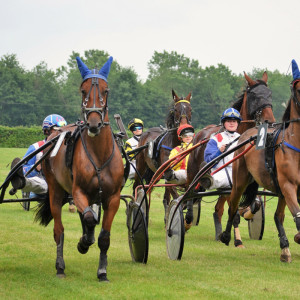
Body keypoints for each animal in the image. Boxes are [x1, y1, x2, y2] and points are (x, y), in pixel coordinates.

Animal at [34, 56, 123, 282]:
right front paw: (83, 243)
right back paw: (60, 267)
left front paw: (102, 272)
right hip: (56, 190)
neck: (99, 155)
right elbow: (90, 219)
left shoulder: (113, 198)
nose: (93, 124)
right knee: (59, 229)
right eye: (83, 91)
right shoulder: (78, 191)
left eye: (106, 90)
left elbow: (103, 236)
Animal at [134, 90, 192, 219]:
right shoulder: (168, 172)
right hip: (140, 166)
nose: (185, 128)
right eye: (175, 109)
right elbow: (175, 194)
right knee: (136, 185)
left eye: (190, 109)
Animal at [186, 71, 276, 244]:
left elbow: (252, 204)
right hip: (193, 173)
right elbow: (232, 211)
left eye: (270, 94)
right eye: (254, 95)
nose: (270, 121)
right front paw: (237, 239)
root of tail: (200, 134)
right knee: (189, 195)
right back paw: (187, 220)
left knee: (218, 209)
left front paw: (247, 213)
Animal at [219, 59, 300, 262]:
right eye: (254, 95)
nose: (268, 119)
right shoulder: (288, 185)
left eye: (269, 94)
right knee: (231, 206)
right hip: (239, 180)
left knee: (277, 215)